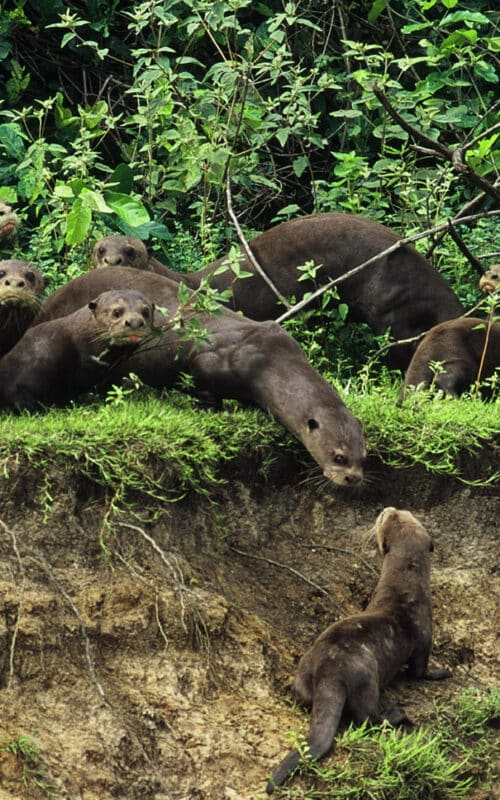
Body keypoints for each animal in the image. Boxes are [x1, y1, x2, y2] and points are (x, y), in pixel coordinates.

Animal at [33, 268, 366, 486]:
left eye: (363, 456)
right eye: (339, 457)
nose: (352, 478)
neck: (268, 361)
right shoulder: (207, 362)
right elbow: (204, 386)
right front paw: (212, 411)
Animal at [266, 507, 450, 794]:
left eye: (402, 513)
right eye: (388, 518)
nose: (388, 508)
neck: (405, 591)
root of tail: (330, 671)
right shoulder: (424, 638)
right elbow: (420, 670)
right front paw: (442, 671)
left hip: (306, 669)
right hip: (366, 675)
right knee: (367, 715)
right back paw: (396, 714)